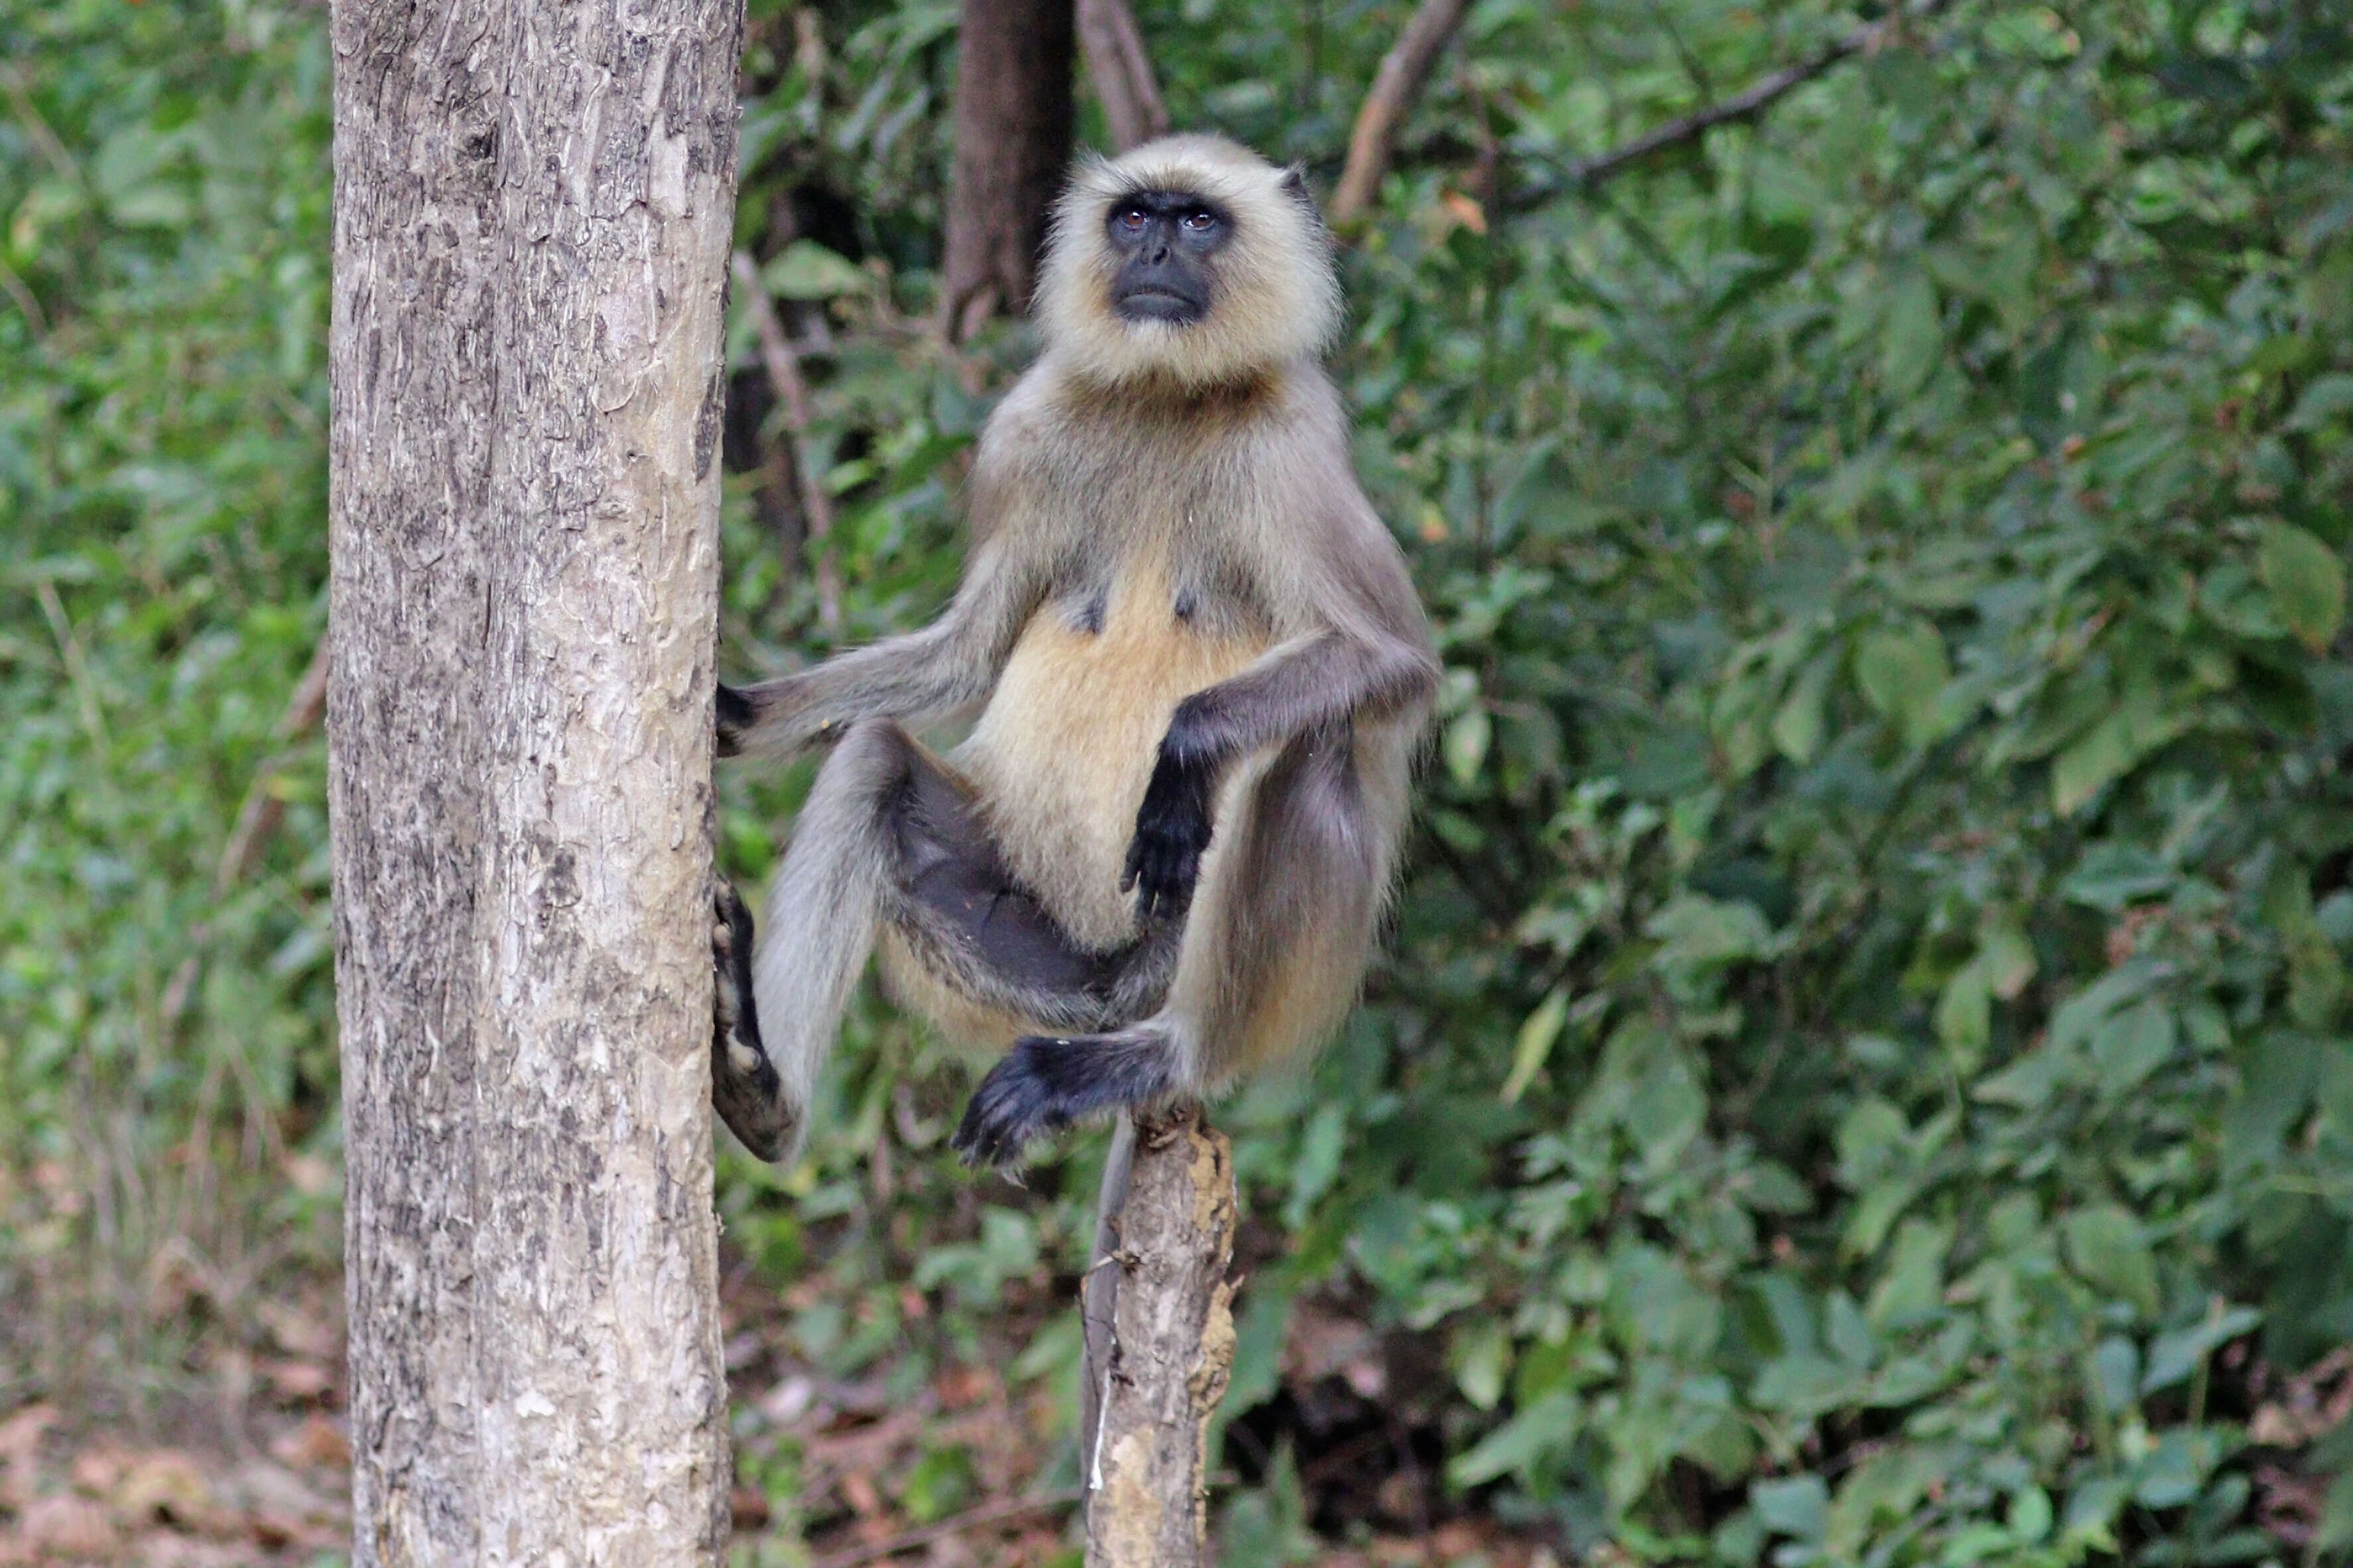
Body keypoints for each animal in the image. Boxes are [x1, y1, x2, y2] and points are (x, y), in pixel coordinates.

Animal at [706, 135, 1431, 1170]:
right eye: (1133, 218)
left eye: (1197, 221)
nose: (1155, 254)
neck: (1166, 397)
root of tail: (1109, 1000)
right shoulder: (1025, 427)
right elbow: (963, 657)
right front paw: (732, 714)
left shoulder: (1297, 444)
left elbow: (1392, 662)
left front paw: (1183, 754)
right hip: (1023, 963)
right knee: (875, 756)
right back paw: (764, 1093)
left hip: (1195, 963)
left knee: (1299, 746)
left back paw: (1154, 1057)